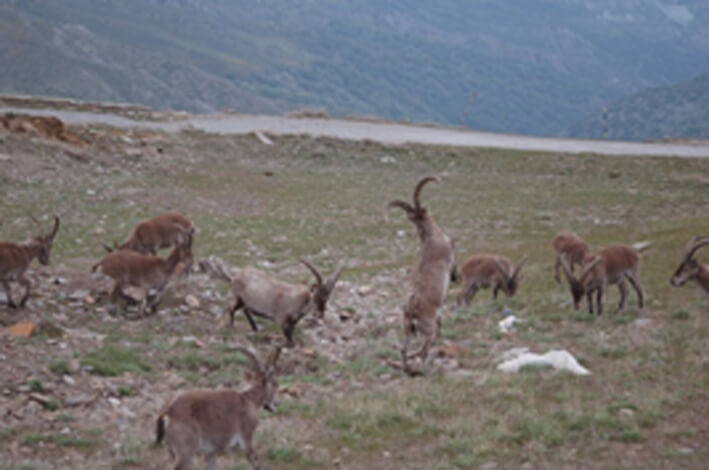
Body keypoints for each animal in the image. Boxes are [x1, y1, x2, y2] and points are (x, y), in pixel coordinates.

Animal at [204, 257, 342, 347]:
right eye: (315, 297)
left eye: (326, 298)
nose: (319, 314)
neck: (298, 299)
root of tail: (234, 277)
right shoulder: (283, 320)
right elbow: (289, 339)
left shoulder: (292, 323)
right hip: (238, 298)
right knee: (231, 309)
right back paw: (232, 326)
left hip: (244, 302)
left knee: (244, 309)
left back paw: (254, 328)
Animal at [387, 176, 456, 374]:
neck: (430, 237)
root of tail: (412, 311)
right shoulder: (451, 261)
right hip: (427, 329)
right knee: (425, 349)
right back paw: (424, 369)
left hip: (407, 328)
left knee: (403, 349)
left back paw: (408, 369)